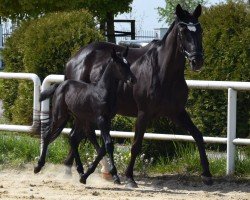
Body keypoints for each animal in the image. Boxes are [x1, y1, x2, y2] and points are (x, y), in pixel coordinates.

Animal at [33, 47, 137, 184]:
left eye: (128, 63)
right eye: (120, 64)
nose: (133, 80)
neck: (102, 92)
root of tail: (61, 84)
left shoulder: (107, 121)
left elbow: (103, 147)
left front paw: (88, 175)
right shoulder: (101, 120)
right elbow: (108, 145)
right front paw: (115, 176)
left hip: (80, 119)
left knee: (72, 138)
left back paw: (80, 171)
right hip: (61, 116)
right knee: (47, 134)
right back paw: (38, 166)